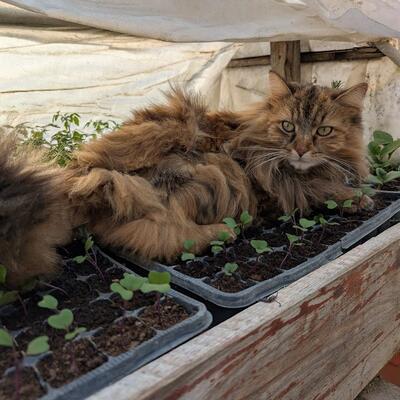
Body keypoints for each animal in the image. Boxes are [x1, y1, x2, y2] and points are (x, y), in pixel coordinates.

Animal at [65, 71, 370, 264]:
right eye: (288, 126)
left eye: (323, 131)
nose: (301, 150)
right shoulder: (277, 187)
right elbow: (317, 190)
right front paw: (355, 198)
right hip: (209, 172)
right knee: (160, 235)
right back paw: (223, 232)